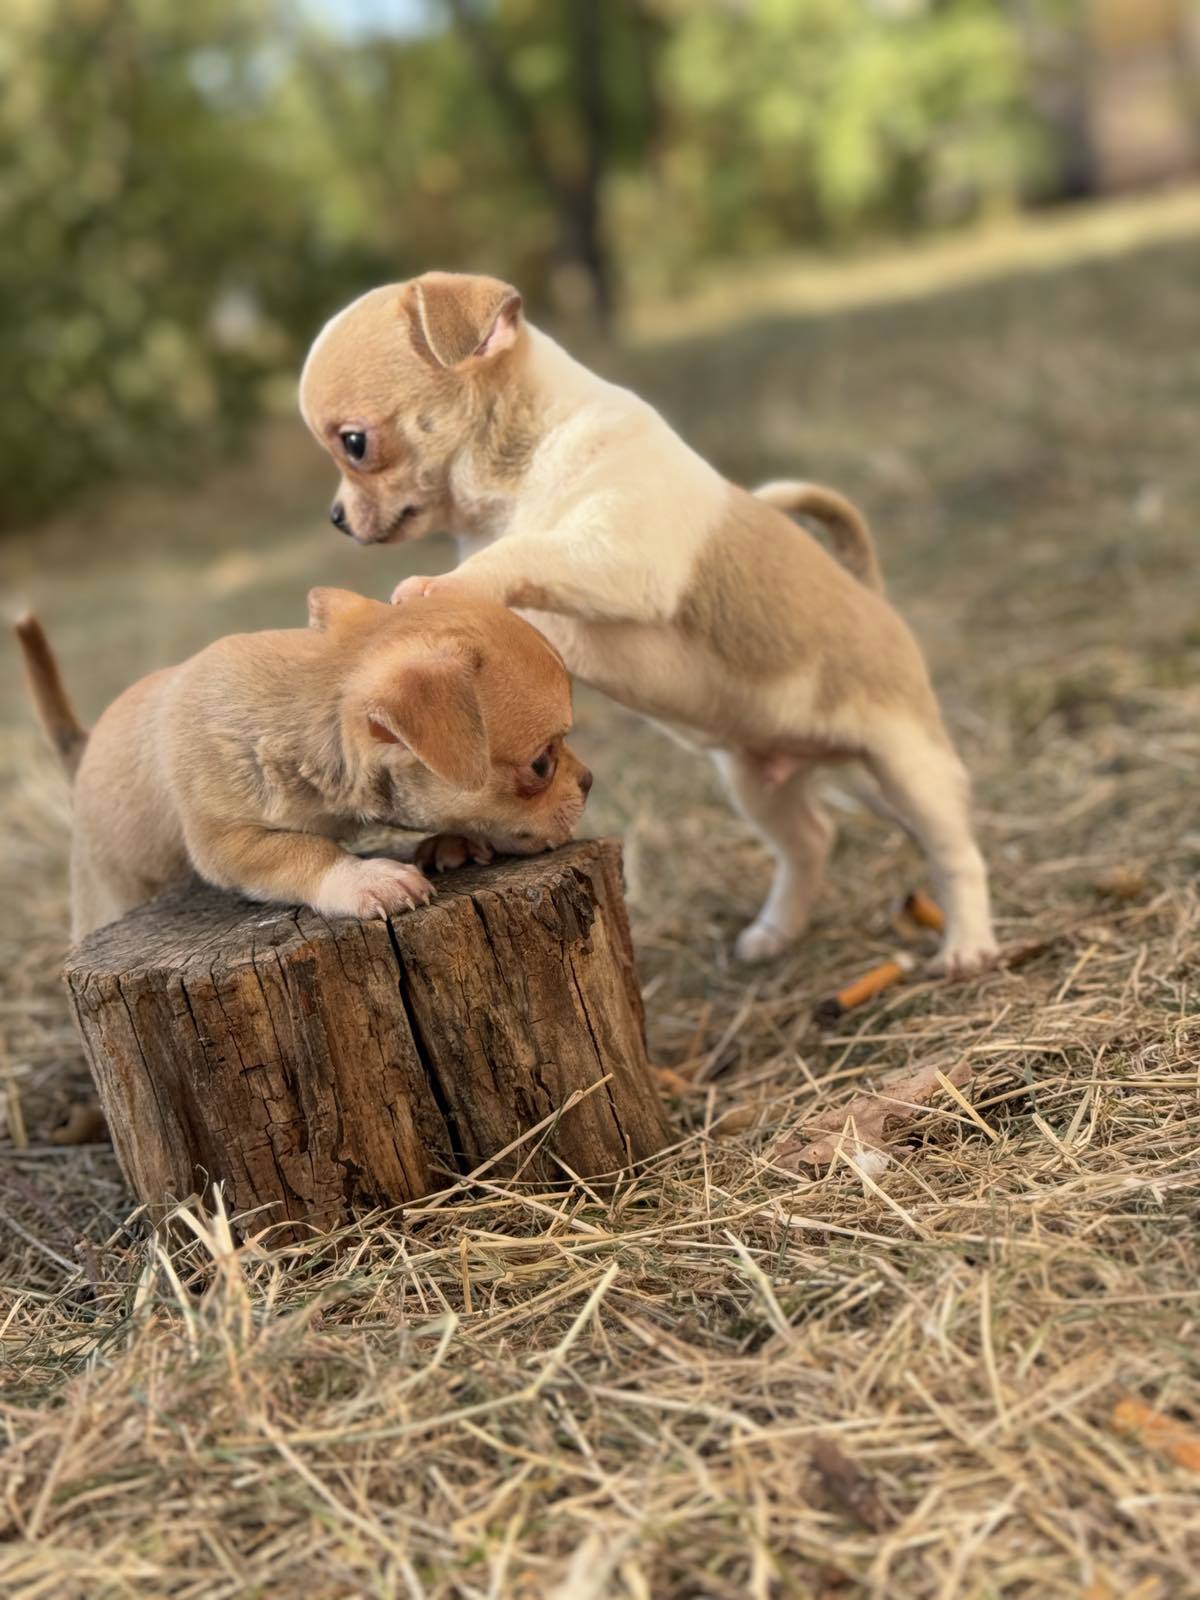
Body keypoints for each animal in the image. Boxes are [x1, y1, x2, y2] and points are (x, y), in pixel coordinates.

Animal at [17, 585, 592, 934]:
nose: (589, 780)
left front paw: (451, 841)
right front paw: (365, 878)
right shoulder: (225, 844)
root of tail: (82, 751)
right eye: (542, 765)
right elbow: (303, 851)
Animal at [302, 272, 1004, 972]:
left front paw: (440, 586)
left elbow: (524, 551)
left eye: (355, 445)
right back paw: (775, 931)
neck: (521, 476)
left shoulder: (618, 552)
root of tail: (869, 591)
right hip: (760, 783)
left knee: (953, 851)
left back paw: (967, 943)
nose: (334, 517)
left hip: (907, 767)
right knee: (810, 839)